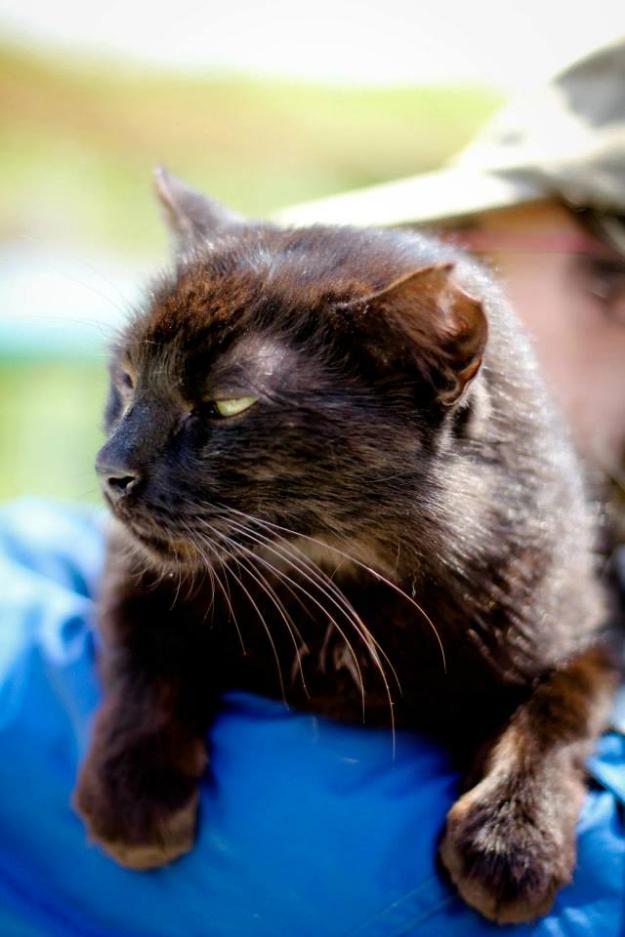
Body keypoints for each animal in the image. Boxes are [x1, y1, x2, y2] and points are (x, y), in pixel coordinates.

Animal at [74, 166, 616, 920]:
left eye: (227, 404)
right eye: (127, 378)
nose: (110, 469)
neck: (342, 587)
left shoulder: (578, 616)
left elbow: (560, 708)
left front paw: (514, 837)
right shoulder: (134, 568)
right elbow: (140, 649)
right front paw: (133, 793)